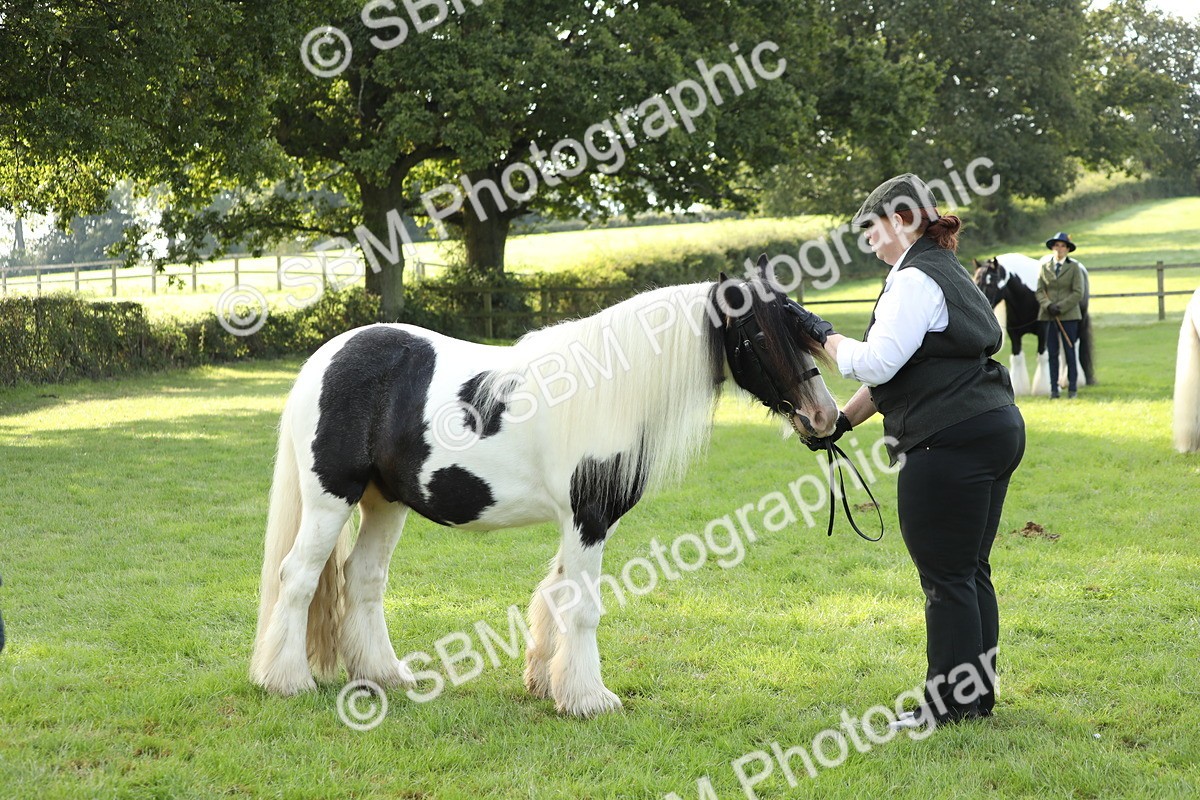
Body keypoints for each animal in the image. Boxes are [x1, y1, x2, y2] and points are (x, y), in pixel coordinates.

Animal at [250, 257, 839, 717]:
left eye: (801, 328)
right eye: (757, 335)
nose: (824, 415)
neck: (612, 390)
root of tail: (325, 359)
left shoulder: (582, 522)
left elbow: (556, 594)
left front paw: (544, 680)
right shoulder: (587, 518)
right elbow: (583, 605)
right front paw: (588, 699)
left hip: (385, 502)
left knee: (364, 579)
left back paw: (383, 676)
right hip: (331, 500)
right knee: (297, 577)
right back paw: (288, 681)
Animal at [973, 253, 1094, 395]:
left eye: (990, 282)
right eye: (975, 281)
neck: (1027, 295)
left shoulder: (1044, 332)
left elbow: (1043, 356)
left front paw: (1043, 388)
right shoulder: (1014, 334)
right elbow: (1017, 358)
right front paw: (1019, 388)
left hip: (1076, 324)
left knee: (1073, 349)